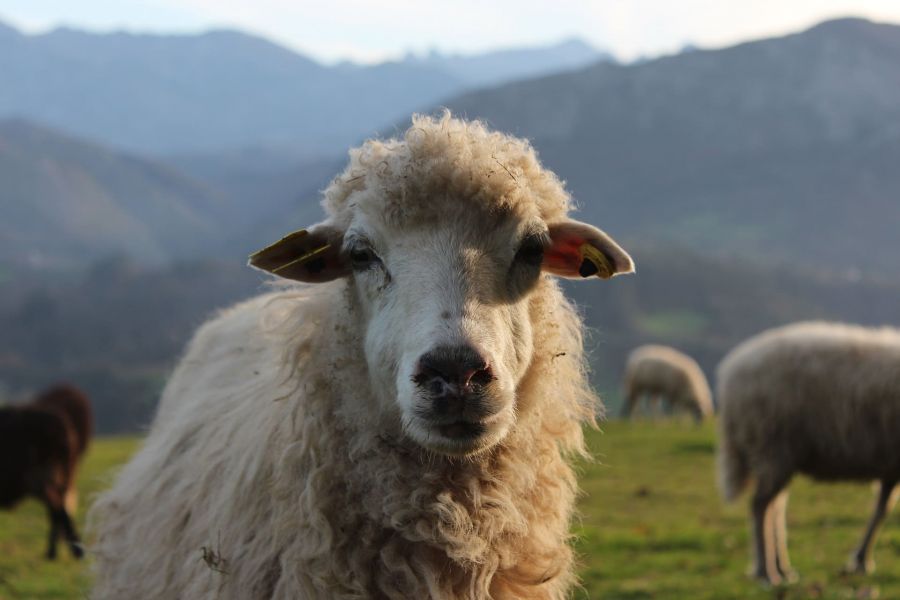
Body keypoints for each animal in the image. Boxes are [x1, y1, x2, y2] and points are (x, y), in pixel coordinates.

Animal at [717, 321, 900, 585]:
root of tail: (730, 371)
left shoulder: (890, 465)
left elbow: (881, 510)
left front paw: (861, 560)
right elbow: (882, 510)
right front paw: (861, 560)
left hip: (778, 455)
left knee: (775, 506)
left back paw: (783, 568)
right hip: (771, 444)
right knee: (760, 505)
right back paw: (766, 572)